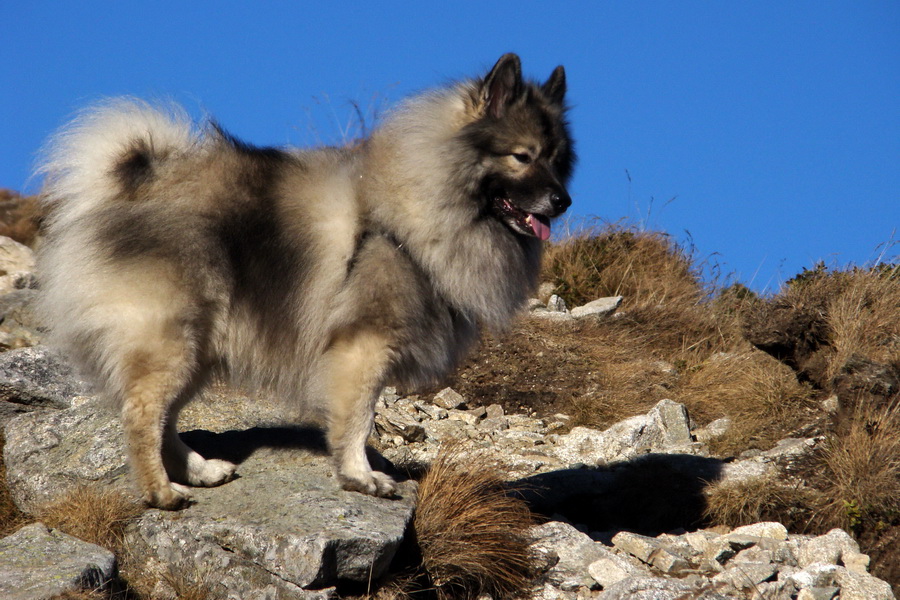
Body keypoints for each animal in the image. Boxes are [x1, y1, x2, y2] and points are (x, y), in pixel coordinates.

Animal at [37, 54, 576, 508]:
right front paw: (361, 476)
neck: (416, 206)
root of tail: (132, 183)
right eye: (522, 156)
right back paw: (161, 492)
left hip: (198, 350)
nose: (563, 200)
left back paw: (200, 470)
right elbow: (357, 421)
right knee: (142, 415)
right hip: (171, 339)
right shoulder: (364, 345)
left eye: (556, 158)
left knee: (165, 418)